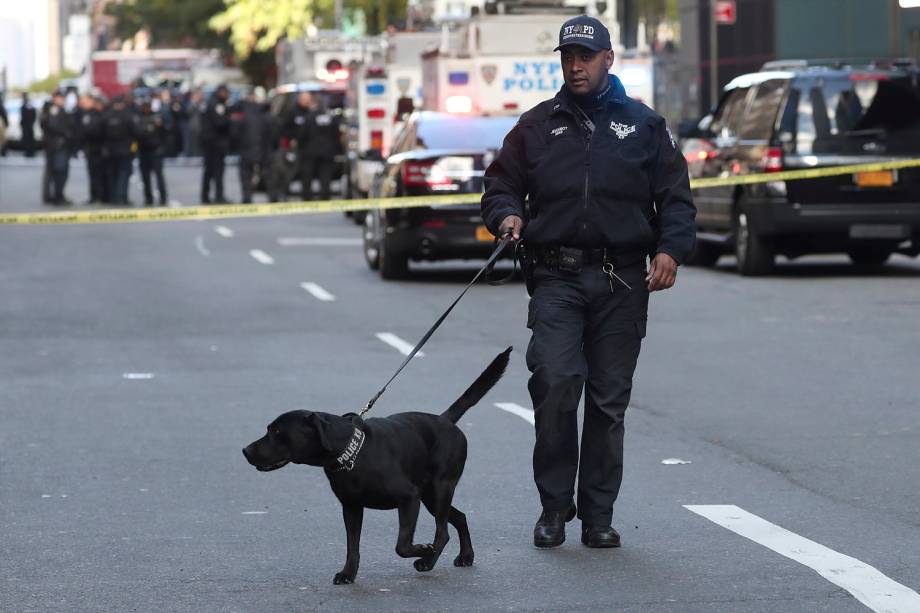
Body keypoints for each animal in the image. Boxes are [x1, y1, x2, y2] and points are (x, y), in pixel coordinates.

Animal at [241, 346, 510, 580]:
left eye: (276, 432)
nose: (245, 450)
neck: (351, 455)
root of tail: (446, 420)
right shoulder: (351, 507)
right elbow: (352, 546)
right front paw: (348, 574)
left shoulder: (408, 498)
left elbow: (402, 545)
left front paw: (422, 548)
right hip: (431, 497)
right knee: (459, 518)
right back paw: (466, 556)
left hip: (439, 490)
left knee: (442, 533)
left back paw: (427, 560)